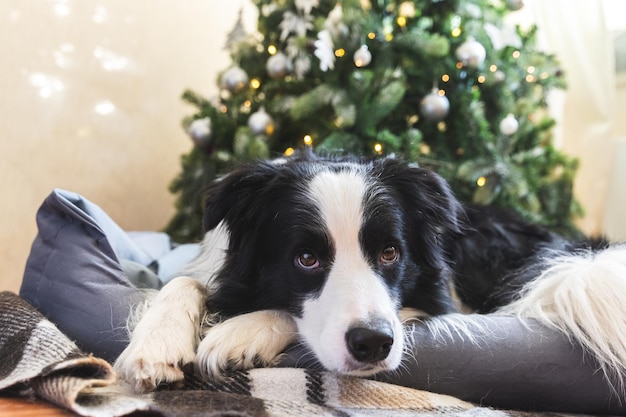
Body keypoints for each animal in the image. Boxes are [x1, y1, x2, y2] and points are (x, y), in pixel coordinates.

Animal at [114, 154, 624, 394]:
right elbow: (183, 280)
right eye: (306, 258)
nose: (374, 344)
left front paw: (239, 333)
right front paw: (155, 348)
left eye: (390, 252)